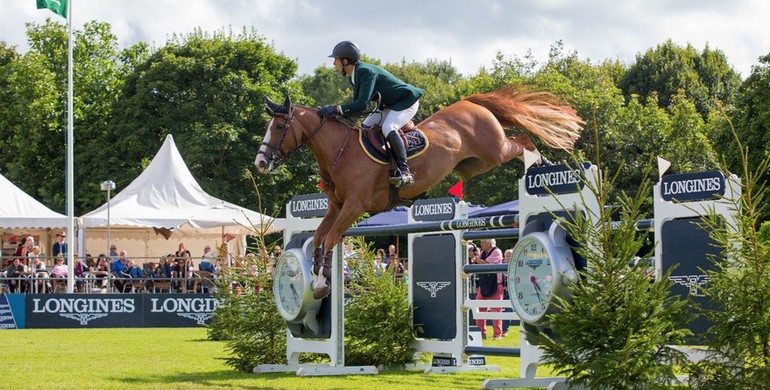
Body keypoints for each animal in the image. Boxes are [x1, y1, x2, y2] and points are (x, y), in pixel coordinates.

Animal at [254, 86, 584, 298]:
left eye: (280, 126)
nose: (260, 162)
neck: (340, 152)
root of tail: (471, 103)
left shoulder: (355, 206)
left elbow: (332, 239)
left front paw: (321, 284)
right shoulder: (336, 206)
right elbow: (319, 239)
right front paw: (316, 280)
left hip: (494, 149)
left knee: (523, 140)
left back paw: (540, 164)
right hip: (476, 164)